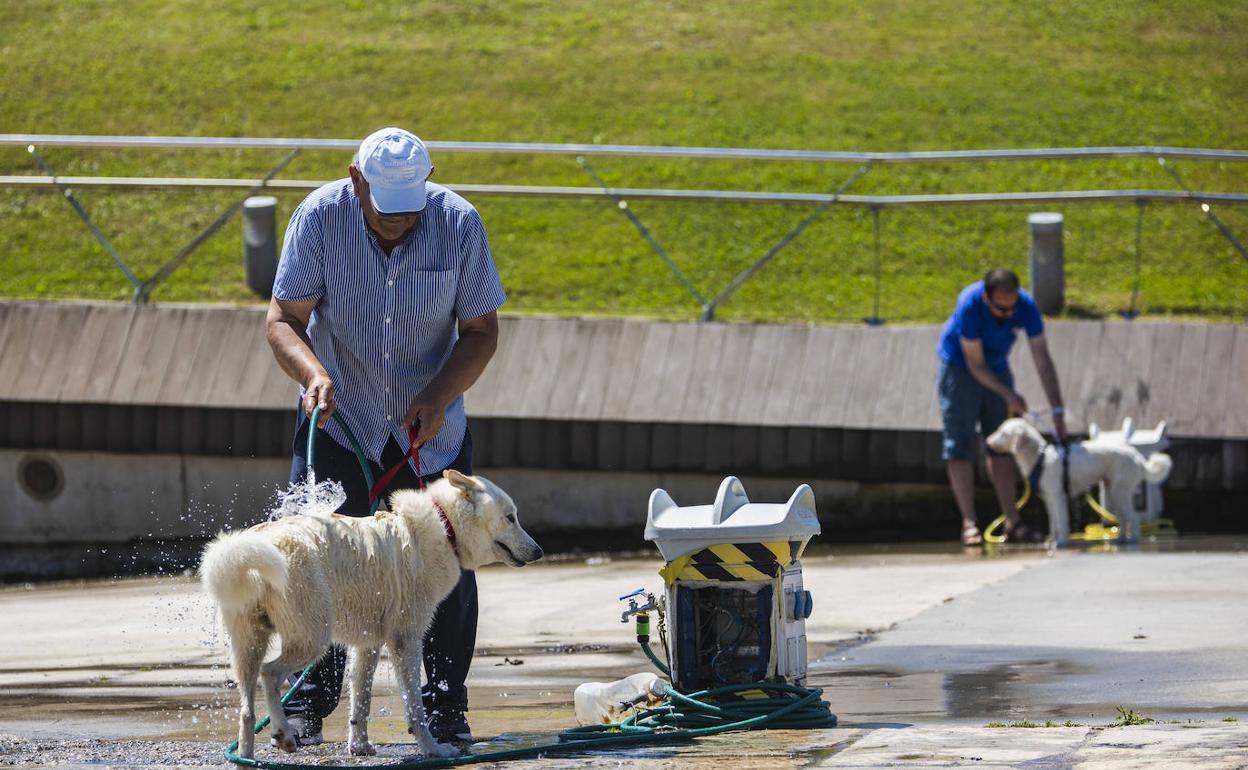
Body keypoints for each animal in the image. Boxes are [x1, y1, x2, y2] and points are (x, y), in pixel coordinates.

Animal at [199, 469, 541, 758]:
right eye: (510, 518)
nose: (538, 552)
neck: (444, 527)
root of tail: (260, 543)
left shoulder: (367, 644)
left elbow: (360, 703)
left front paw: (360, 747)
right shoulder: (405, 640)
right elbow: (415, 709)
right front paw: (433, 749)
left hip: (248, 645)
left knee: (247, 708)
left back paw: (245, 755)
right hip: (313, 638)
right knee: (270, 674)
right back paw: (283, 734)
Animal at [983, 416, 1168, 544]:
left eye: (1003, 434)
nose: (987, 441)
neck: (1039, 458)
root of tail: (1137, 456)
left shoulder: (1058, 496)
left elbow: (1062, 521)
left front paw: (1062, 542)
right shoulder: (1049, 499)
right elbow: (1053, 523)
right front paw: (1053, 541)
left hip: (1120, 491)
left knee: (1133, 517)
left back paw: (1132, 540)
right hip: (1112, 492)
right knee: (1123, 518)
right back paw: (1120, 539)